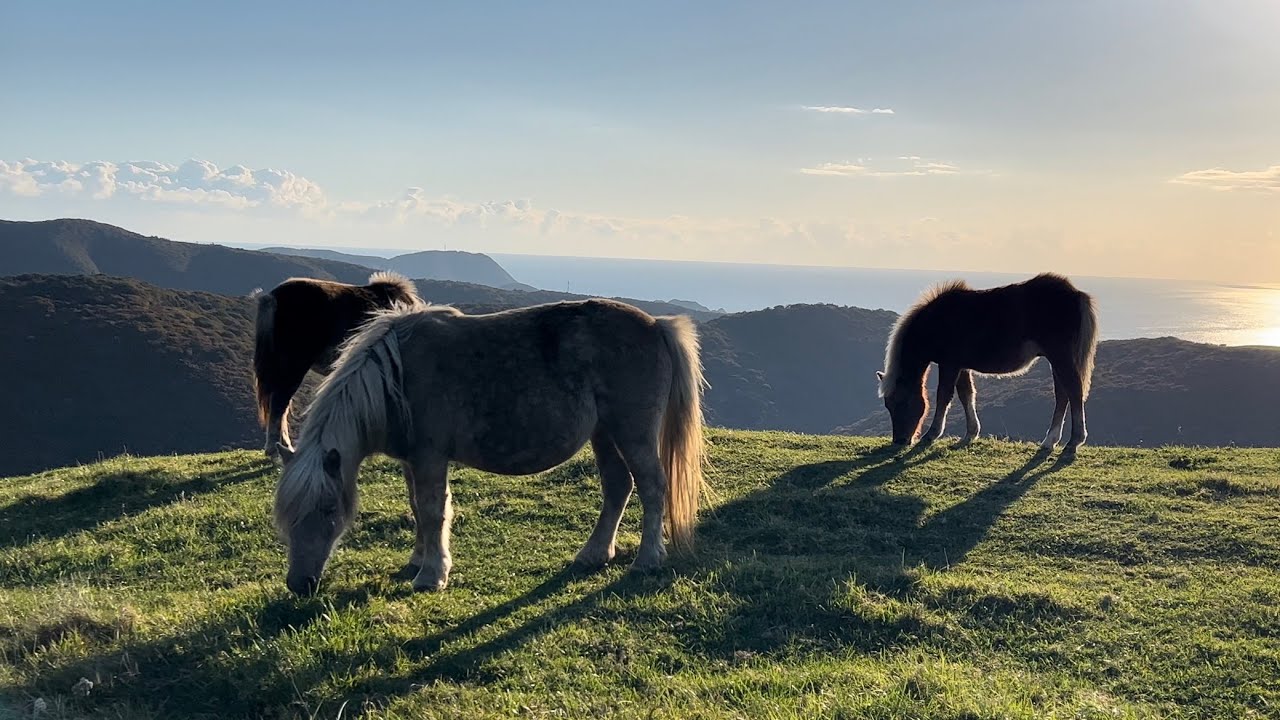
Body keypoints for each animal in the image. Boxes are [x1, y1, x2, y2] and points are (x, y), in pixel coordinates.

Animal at [271, 298, 708, 596]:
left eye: (329, 509)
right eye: (286, 515)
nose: (300, 583)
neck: (396, 376)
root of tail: (656, 325)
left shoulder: (429, 457)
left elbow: (432, 511)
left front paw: (432, 574)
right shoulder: (412, 460)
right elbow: (416, 508)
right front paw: (418, 560)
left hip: (632, 432)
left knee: (652, 487)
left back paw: (647, 560)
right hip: (604, 434)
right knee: (618, 487)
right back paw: (594, 553)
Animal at [876, 273, 1099, 452]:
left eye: (901, 402)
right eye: (887, 405)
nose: (900, 440)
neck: (936, 322)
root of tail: (1076, 294)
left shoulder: (950, 364)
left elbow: (943, 397)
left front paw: (932, 434)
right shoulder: (961, 366)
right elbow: (966, 395)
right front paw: (971, 433)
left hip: (1060, 356)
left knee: (1073, 391)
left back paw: (1074, 441)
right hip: (1057, 359)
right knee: (1063, 395)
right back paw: (1050, 441)